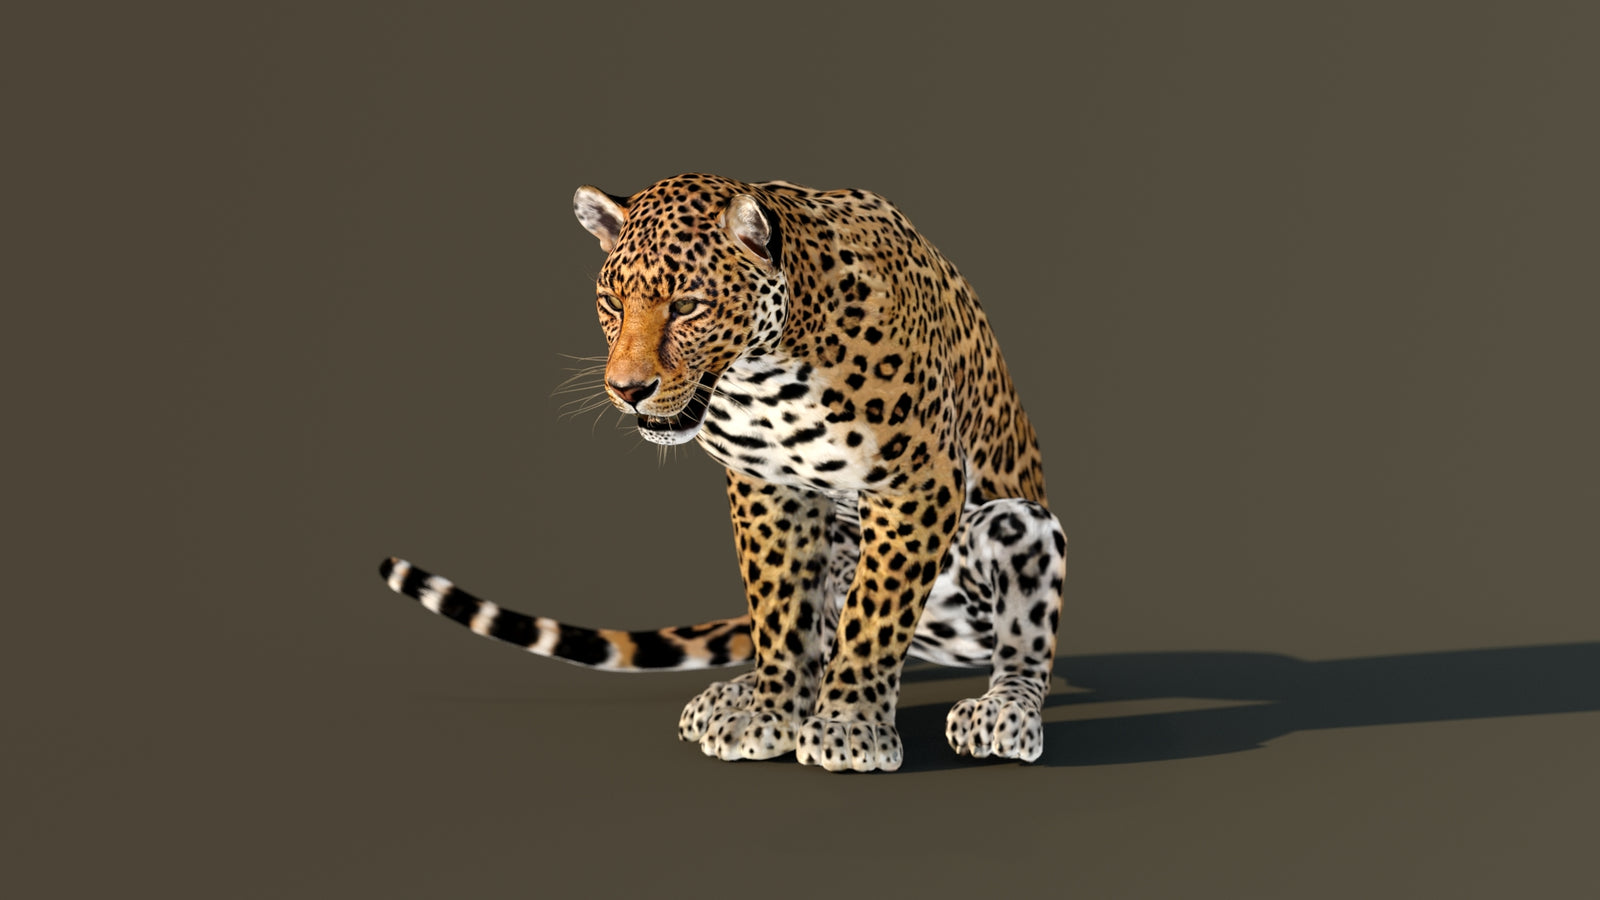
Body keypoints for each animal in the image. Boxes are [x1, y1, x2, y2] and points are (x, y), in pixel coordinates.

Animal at [381, 173, 1066, 772]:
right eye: (612, 302)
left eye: (687, 304)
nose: (626, 389)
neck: (767, 376)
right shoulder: (769, 488)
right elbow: (780, 609)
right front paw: (772, 712)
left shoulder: (918, 481)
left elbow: (874, 615)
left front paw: (847, 726)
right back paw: (732, 695)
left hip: (1017, 523)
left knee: (1022, 642)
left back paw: (1002, 713)